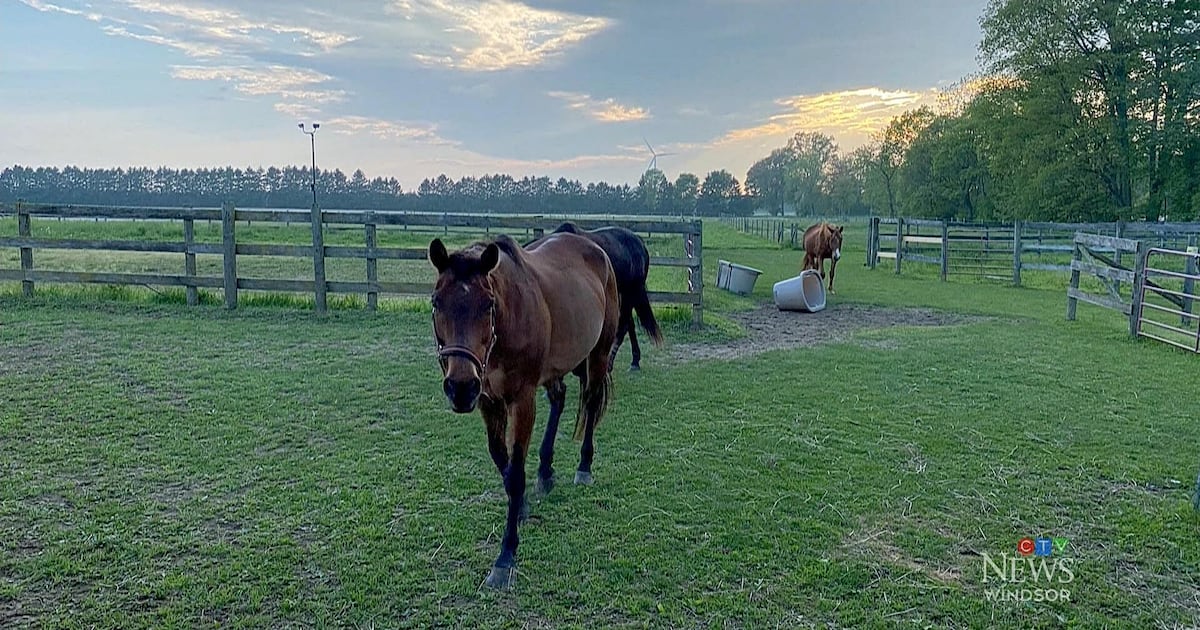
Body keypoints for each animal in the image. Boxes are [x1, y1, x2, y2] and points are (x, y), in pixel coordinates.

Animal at [428, 233, 619, 590]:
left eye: (487, 304)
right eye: (436, 302)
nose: (460, 388)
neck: (506, 324)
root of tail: (595, 248)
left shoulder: (522, 399)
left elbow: (515, 473)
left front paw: (505, 556)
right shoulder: (488, 399)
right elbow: (501, 462)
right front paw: (522, 507)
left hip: (599, 353)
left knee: (590, 402)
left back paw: (584, 466)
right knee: (559, 398)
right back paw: (545, 472)